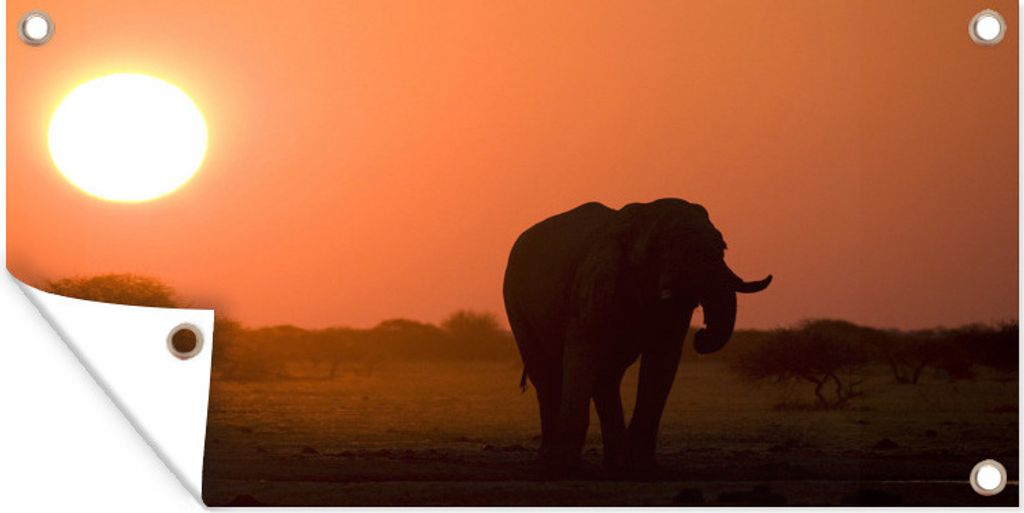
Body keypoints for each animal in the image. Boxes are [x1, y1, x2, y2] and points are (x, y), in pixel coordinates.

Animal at [502, 198, 771, 475]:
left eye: (723, 247)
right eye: (660, 247)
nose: (700, 336)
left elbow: (663, 355)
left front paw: (641, 466)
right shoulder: (593, 282)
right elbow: (583, 349)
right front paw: (565, 467)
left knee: (607, 376)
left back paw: (614, 463)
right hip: (514, 303)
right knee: (546, 376)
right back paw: (551, 461)